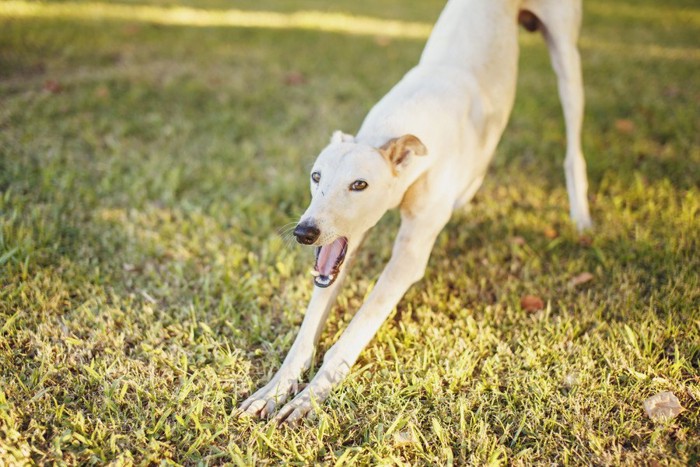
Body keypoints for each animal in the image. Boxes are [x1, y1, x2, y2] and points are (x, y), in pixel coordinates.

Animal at [239, 0, 592, 424]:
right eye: (316, 176)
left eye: (359, 185)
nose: (305, 232)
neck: (399, 129)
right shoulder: (344, 247)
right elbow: (311, 320)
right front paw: (277, 387)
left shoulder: (407, 258)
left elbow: (357, 328)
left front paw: (311, 396)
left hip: (567, 60)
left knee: (572, 143)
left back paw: (582, 218)